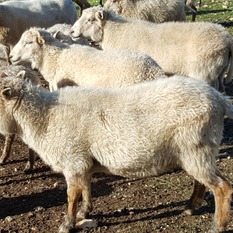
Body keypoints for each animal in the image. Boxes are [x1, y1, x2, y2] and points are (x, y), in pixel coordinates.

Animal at [0, 72, 233, 232]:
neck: (44, 118)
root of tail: (220, 99)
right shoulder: (83, 163)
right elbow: (86, 188)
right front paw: (85, 212)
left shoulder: (73, 161)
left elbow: (71, 196)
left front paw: (68, 223)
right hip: (194, 151)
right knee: (202, 182)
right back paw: (190, 207)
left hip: (197, 147)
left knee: (222, 188)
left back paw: (217, 226)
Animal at [70, 6, 233, 92]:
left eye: (90, 20)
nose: (71, 31)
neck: (114, 32)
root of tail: (226, 37)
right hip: (218, 73)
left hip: (203, 72)